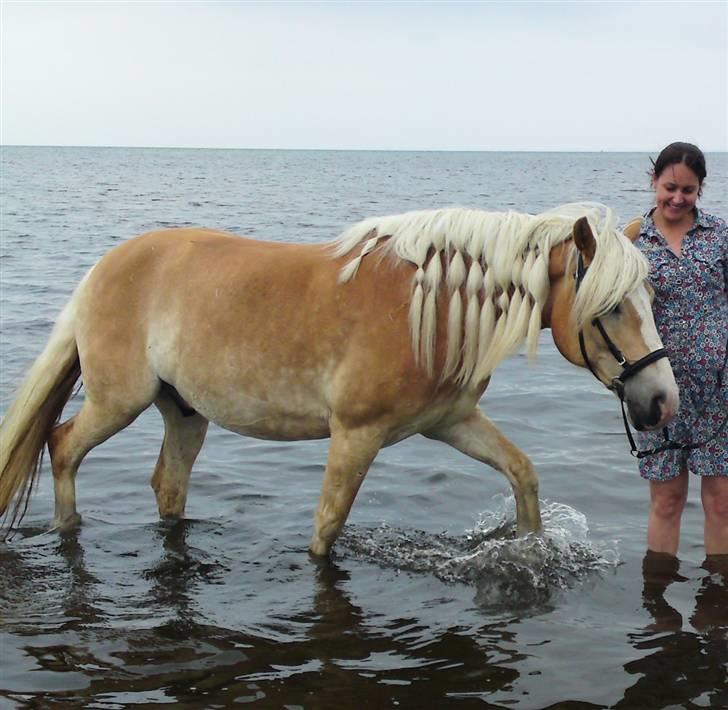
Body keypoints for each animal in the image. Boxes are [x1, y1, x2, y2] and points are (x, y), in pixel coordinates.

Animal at [2, 203, 680, 560]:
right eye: (611, 307)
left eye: (652, 298)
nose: (662, 400)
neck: (427, 311)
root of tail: (102, 268)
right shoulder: (356, 435)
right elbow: (327, 528)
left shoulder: (451, 423)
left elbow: (523, 473)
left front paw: (528, 549)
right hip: (119, 401)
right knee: (62, 446)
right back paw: (68, 532)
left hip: (183, 411)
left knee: (167, 484)